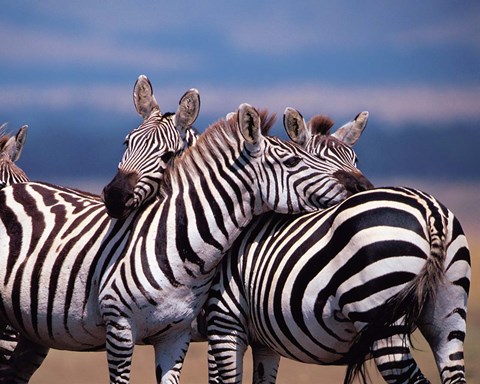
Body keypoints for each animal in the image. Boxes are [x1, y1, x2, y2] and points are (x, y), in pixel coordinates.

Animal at [0, 103, 374, 384]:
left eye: (355, 159)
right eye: (299, 160)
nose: (361, 190)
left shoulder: (257, 339)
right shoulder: (219, 327)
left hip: (33, 332)